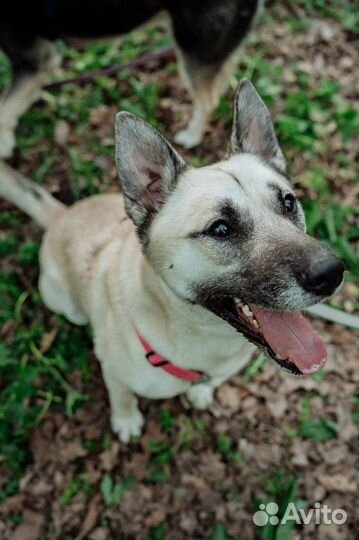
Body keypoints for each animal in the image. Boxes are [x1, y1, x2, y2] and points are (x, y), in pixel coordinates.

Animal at [0, 1, 262, 158]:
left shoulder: (38, 60)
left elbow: (5, 109)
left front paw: (4, 143)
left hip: (192, 45)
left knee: (208, 100)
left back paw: (192, 136)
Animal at [0, 81, 346, 442]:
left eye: (288, 202)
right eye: (221, 228)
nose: (331, 274)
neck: (206, 338)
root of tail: (60, 214)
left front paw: (201, 393)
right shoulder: (115, 373)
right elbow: (121, 397)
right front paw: (126, 421)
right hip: (65, 304)